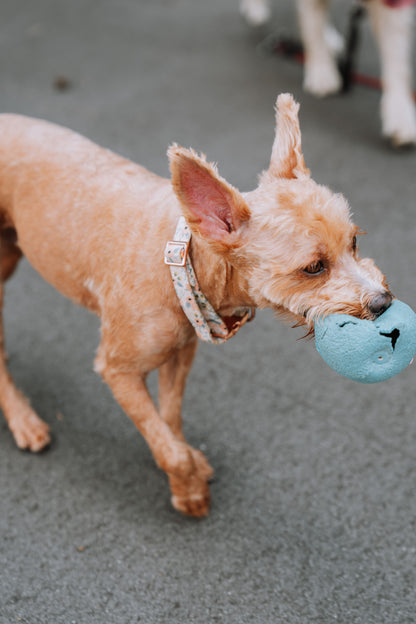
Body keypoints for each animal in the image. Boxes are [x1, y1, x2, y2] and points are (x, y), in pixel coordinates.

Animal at [240, 0, 416, 146]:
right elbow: (314, 27)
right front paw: (321, 70)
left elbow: (396, 60)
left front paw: (400, 114)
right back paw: (255, 9)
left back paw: (330, 39)